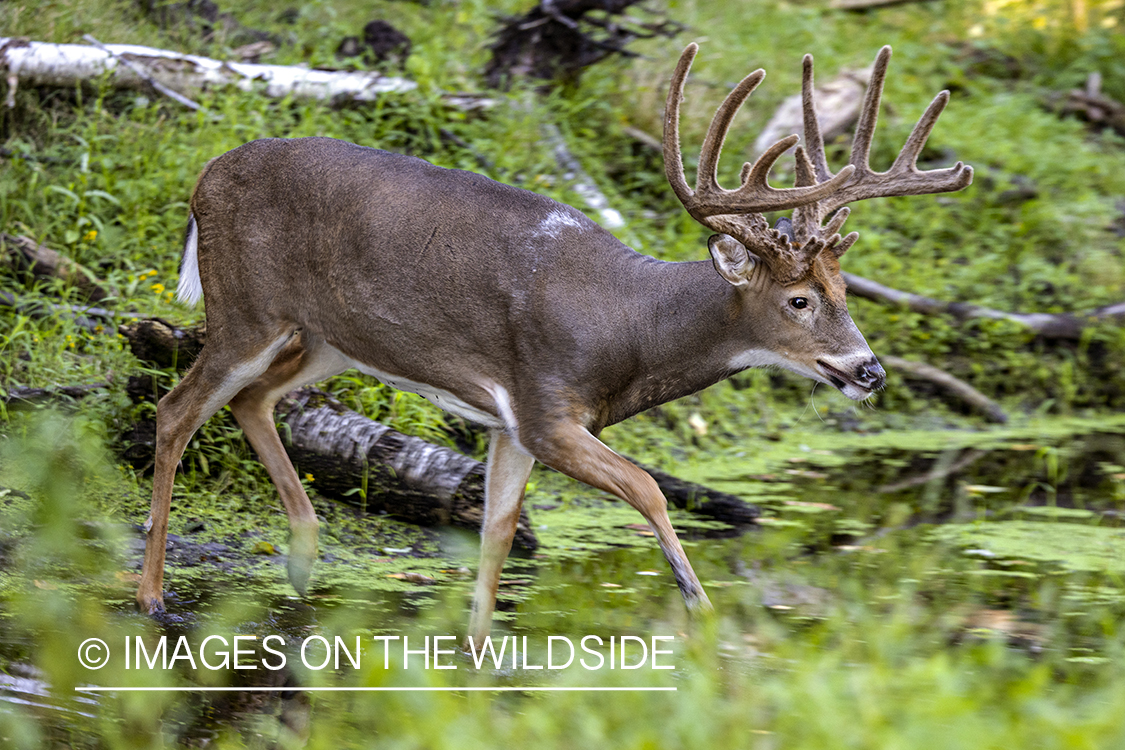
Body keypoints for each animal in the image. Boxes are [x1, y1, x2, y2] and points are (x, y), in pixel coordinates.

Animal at [136, 42, 972, 647]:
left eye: (846, 293)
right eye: (797, 300)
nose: (869, 370)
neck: (626, 328)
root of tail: (201, 178)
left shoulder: (512, 424)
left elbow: (497, 534)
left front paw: (477, 647)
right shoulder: (545, 408)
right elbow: (646, 487)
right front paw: (698, 605)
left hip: (324, 336)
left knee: (252, 400)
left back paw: (304, 560)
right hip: (246, 307)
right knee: (176, 410)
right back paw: (151, 597)